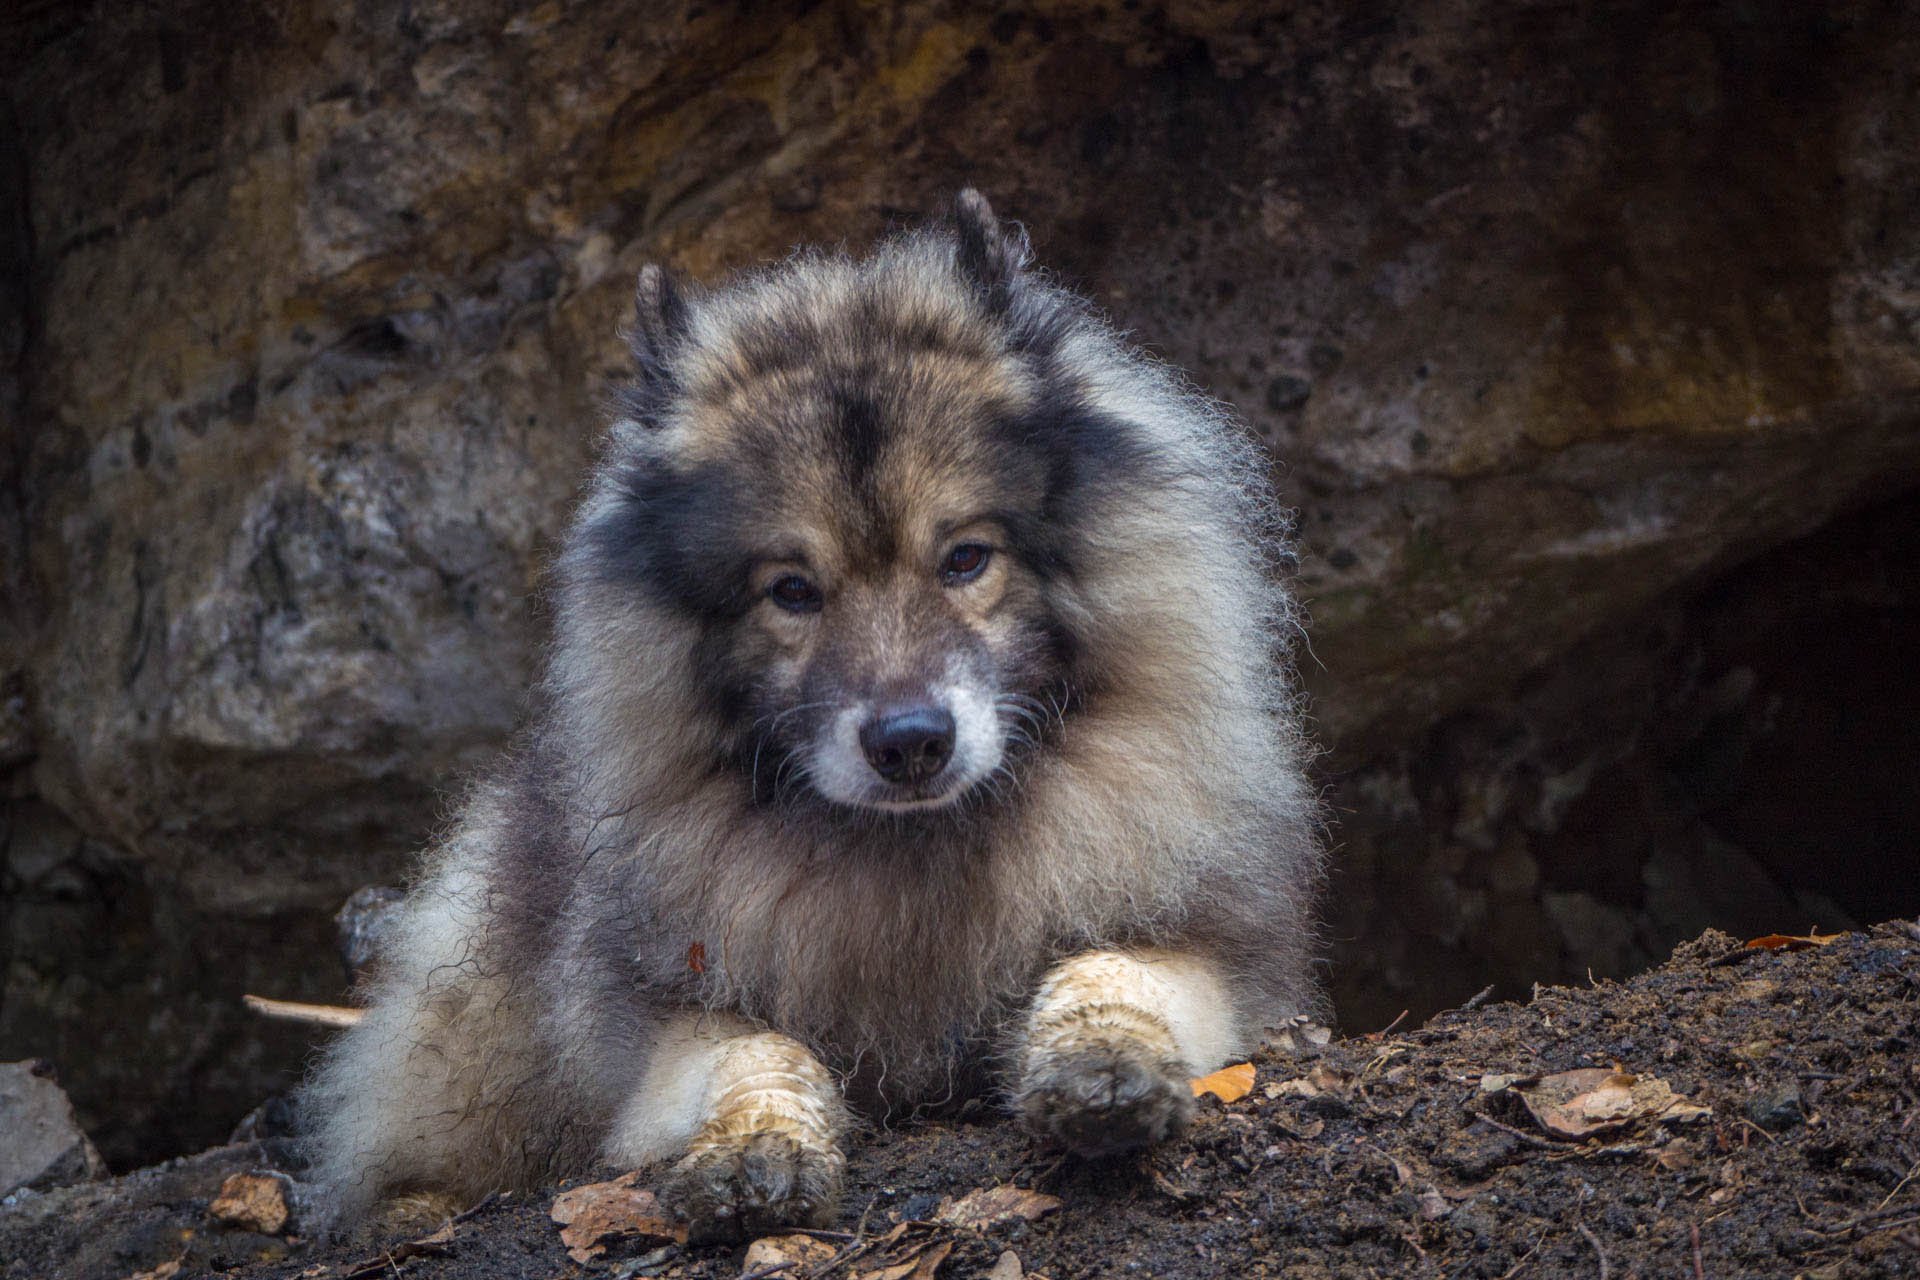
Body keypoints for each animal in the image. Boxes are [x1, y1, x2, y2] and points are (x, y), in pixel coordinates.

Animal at [299, 192, 1328, 1243]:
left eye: (965, 558)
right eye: (792, 590)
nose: (911, 744)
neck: (910, 857)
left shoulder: (1212, 954)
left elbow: (1113, 970)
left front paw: (1102, 1067)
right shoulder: (662, 1020)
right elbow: (755, 1052)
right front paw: (758, 1147)